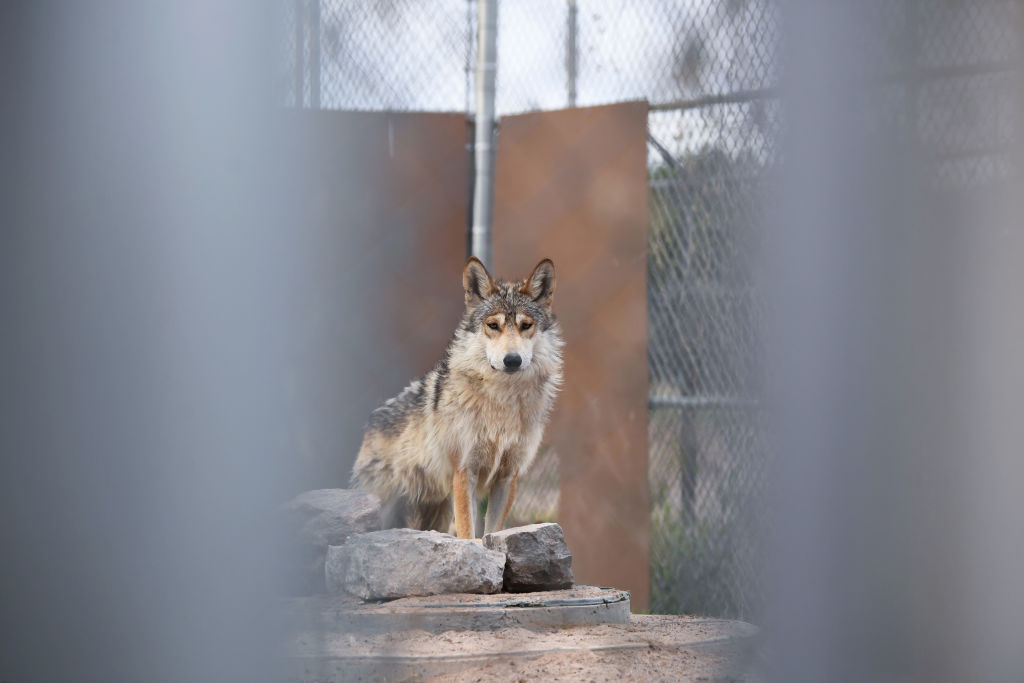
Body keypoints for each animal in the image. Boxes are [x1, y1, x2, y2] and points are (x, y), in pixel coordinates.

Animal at [351, 257, 564, 539]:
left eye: (525, 326)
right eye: (493, 325)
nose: (512, 360)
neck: (502, 400)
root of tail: (372, 421)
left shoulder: (507, 477)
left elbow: (492, 532)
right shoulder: (464, 473)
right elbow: (467, 532)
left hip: (438, 513)